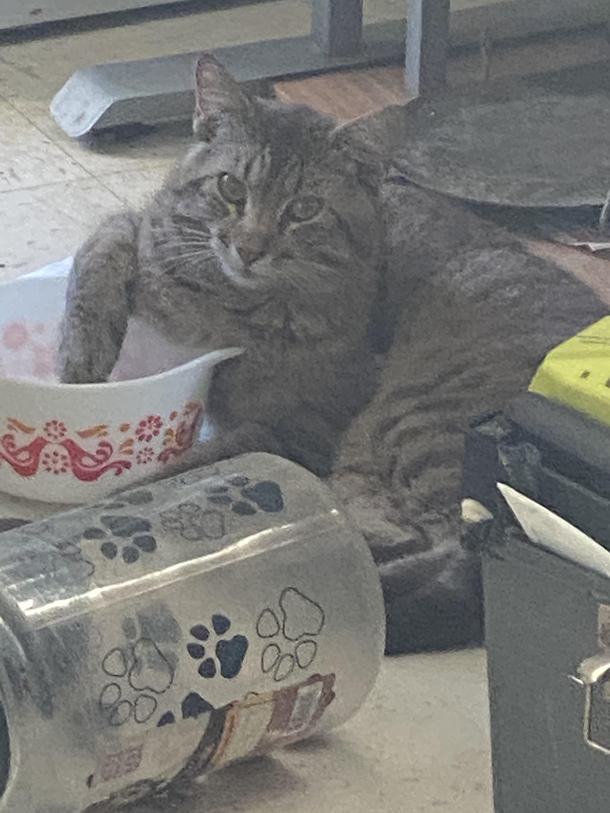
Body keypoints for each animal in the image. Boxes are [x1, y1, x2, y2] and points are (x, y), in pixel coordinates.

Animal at [58, 55, 608, 652]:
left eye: (304, 209)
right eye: (230, 186)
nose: (249, 249)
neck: (233, 303)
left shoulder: (297, 430)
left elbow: (164, 479)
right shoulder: (150, 235)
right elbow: (104, 241)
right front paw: (80, 357)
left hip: (411, 419)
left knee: (449, 555)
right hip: (372, 459)